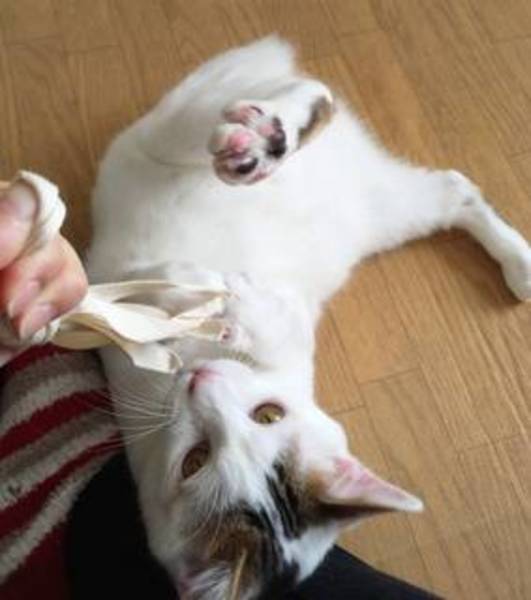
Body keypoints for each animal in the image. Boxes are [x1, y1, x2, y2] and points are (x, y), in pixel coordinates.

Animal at [86, 36, 531, 599]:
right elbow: (145, 290)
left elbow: (238, 307)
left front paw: (217, 296)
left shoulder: (286, 319)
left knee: (422, 167)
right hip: (201, 137)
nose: (200, 379)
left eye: (268, 415)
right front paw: (193, 292)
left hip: (365, 204)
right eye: (195, 459)